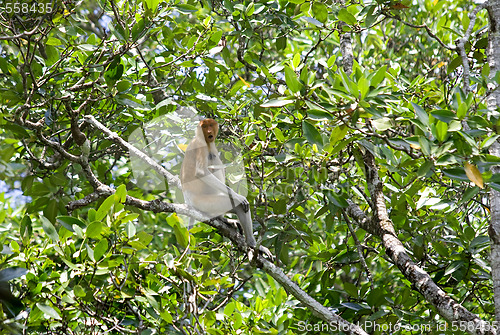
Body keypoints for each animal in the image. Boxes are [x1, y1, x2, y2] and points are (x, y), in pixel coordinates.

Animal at [181, 119, 272, 260]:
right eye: (204, 126)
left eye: (210, 125)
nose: (209, 131)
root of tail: (188, 200)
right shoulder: (200, 144)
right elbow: (202, 172)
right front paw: (238, 196)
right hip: (203, 202)